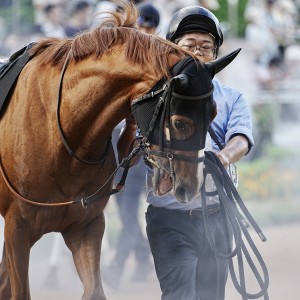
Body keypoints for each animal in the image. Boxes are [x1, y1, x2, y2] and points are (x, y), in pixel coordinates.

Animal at [0, 1, 239, 298]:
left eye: (214, 113)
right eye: (180, 123)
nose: (191, 186)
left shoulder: (86, 225)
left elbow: (94, 290)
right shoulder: (18, 229)